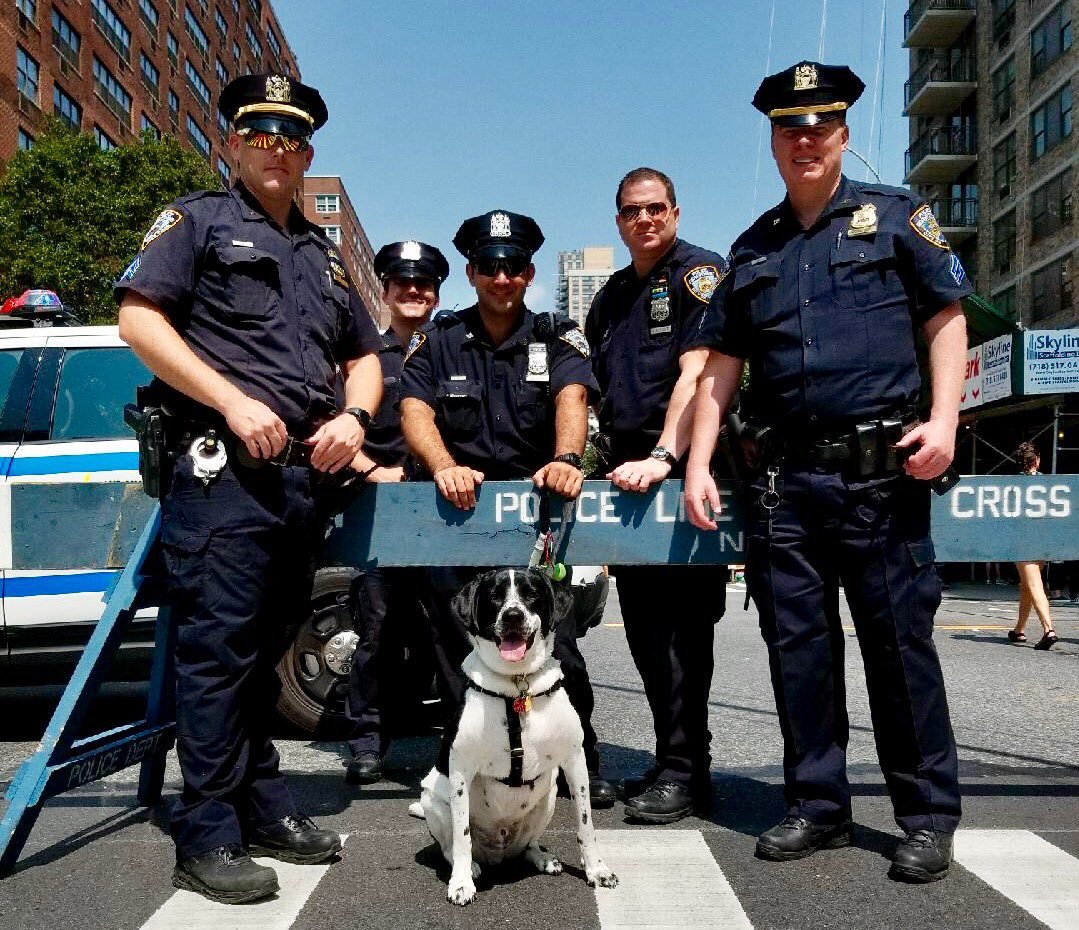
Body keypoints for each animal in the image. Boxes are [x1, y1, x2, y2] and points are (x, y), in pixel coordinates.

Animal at [410, 567, 618, 906]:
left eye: (532, 594)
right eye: (494, 595)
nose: (512, 615)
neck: (517, 685)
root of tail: (499, 851)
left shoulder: (575, 760)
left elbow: (586, 823)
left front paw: (597, 870)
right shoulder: (460, 770)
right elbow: (462, 836)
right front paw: (461, 883)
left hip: (548, 797)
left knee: (529, 845)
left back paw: (542, 857)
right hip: (434, 799)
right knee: (450, 846)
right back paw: (471, 867)